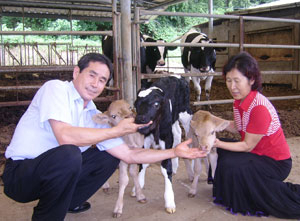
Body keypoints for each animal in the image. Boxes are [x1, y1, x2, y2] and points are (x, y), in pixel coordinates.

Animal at [134, 75, 192, 213]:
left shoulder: (166, 138)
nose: (139, 119)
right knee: (177, 133)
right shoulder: (146, 139)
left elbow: (166, 169)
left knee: (188, 135)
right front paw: (138, 186)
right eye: (136, 104)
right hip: (174, 120)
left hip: (185, 114)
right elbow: (143, 162)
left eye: (156, 104)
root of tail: (178, 76)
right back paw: (176, 165)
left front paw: (170, 201)